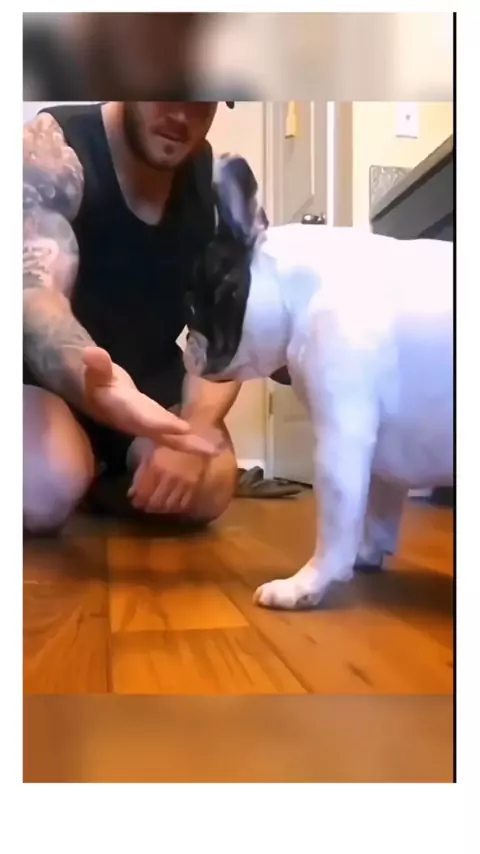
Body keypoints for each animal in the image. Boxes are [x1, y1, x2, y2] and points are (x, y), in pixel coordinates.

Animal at [184, 154, 454, 610]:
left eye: (193, 307)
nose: (187, 341)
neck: (299, 292)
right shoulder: (380, 452)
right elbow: (380, 506)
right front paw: (368, 554)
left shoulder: (342, 441)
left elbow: (336, 522)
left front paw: (306, 585)